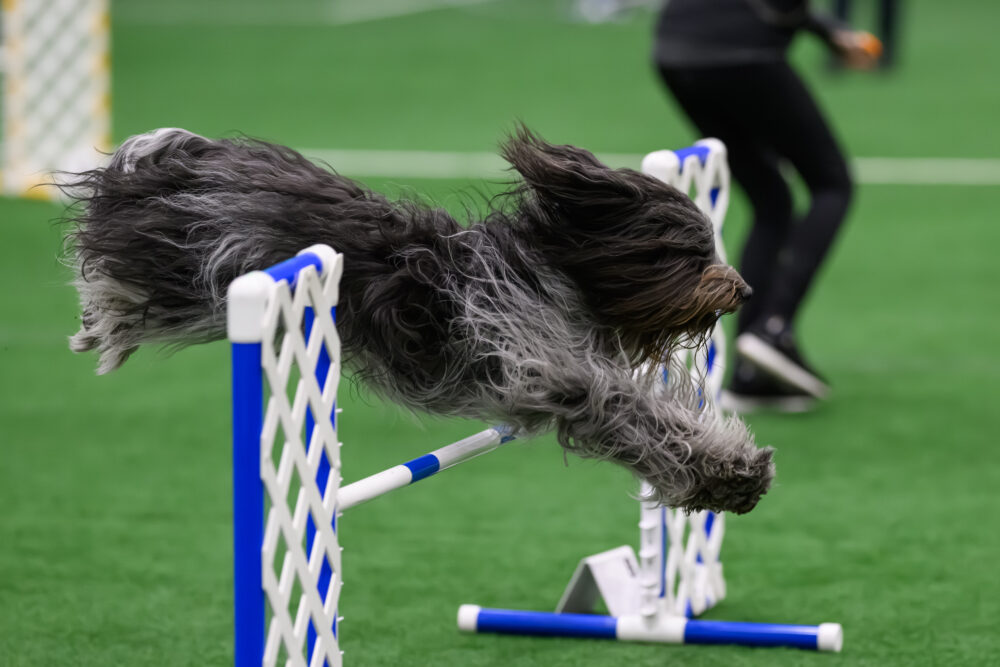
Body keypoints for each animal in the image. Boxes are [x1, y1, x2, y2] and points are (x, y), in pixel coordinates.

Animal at [66, 125, 776, 516]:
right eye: (685, 254)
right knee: (117, 272)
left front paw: (736, 466)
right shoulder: (554, 374)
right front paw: (729, 476)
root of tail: (190, 157)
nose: (742, 289)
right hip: (202, 267)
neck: (554, 271)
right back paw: (104, 323)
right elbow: (644, 420)